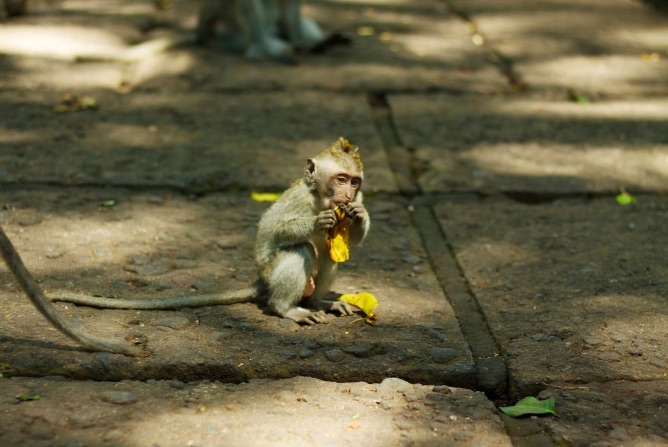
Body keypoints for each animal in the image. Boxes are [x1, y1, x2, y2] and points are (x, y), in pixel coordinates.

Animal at [51, 138, 370, 325]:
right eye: (340, 179)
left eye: (355, 182)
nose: (347, 195)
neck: (321, 199)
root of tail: (262, 281)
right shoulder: (300, 199)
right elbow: (275, 230)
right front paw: (317, 222)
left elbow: (351, 238)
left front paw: (359, 217)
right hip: (272, 272)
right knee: (302, 249)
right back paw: (286, 308)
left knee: (329, 256)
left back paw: (320, 302)